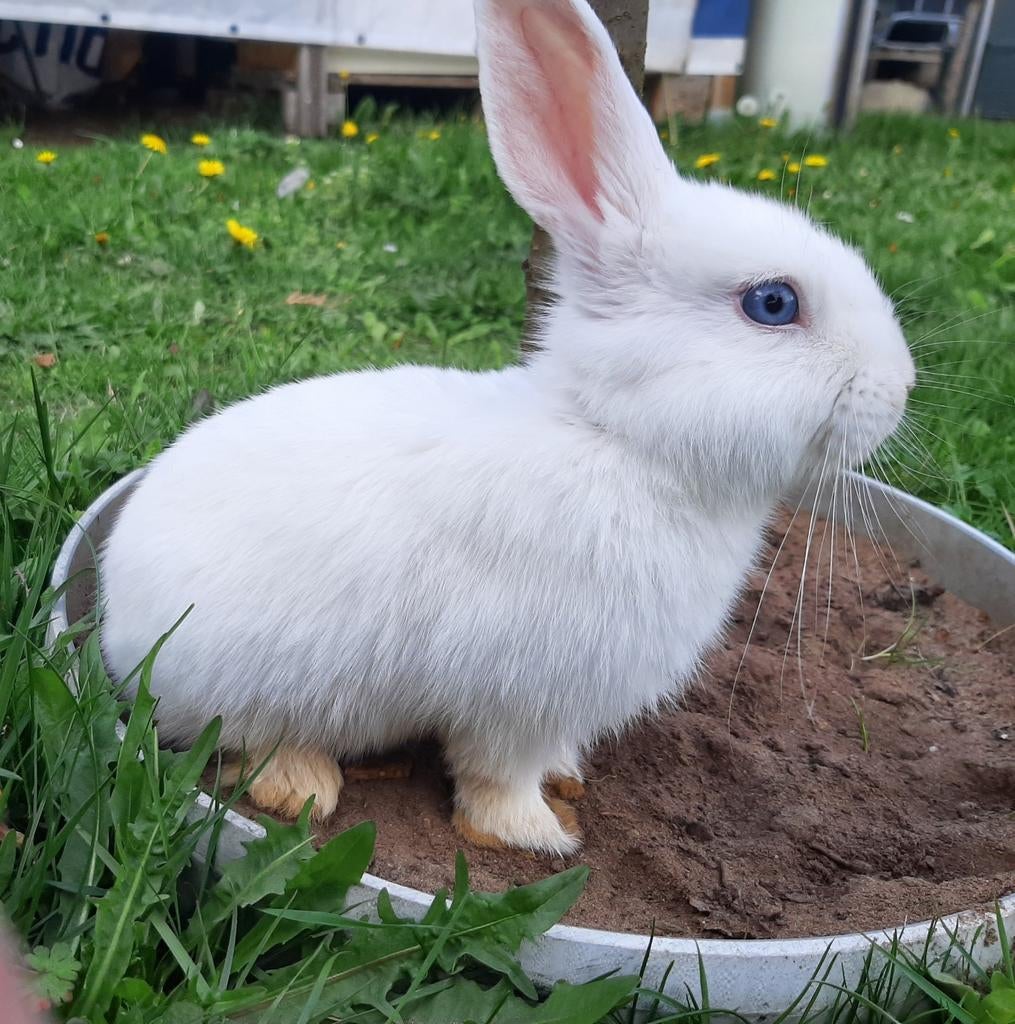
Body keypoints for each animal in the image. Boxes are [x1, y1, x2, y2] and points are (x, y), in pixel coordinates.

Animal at [99, 0, 915, 856]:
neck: (617, 439)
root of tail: (114, 624)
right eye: (772, 304)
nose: (900, 386)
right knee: (248, 744)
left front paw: (567, 780)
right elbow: (497, 775)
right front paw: (538, 836)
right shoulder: (519, 698)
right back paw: (304, 787)